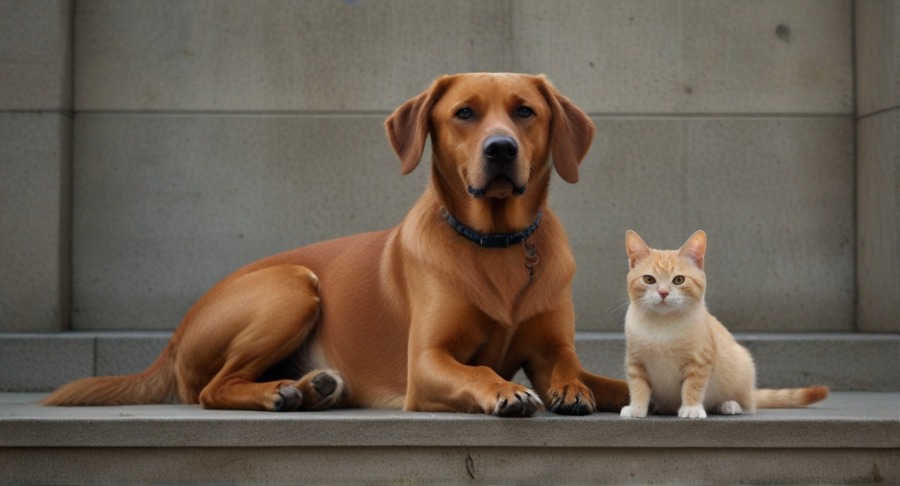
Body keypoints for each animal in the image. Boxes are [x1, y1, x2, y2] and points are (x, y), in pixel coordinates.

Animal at [45, 73, 628, 418]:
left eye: (525, 111)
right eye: (464, 113)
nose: (501, 149)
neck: (497, 241)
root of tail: (174, 337)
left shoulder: (553, 350)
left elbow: (597, 377)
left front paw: (581, 390)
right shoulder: (426, 365)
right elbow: (477, 370)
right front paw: (506, 390)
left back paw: (312, 387)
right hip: (293, 286)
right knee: (212, 388)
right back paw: (280, 392)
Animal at [620, 231, 828, 418]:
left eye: (678, 280)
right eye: (649, 279)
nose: (663, 293)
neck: (662, 325)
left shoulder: (700, 362)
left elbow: (693, 386)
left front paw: (692, 407)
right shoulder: (635, 362)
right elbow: (638, 387)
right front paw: (637, 408)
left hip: (742, 366)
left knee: (748, 405)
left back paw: (729, 405)